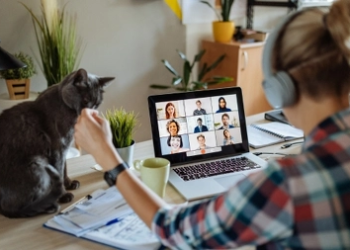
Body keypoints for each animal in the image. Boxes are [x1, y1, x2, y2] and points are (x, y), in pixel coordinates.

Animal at [0, 69, 113, 218]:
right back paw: (49, 205)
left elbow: (64, 168)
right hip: (37, 164)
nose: (90, 110)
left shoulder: (64, 148)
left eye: (96, 103)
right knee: (16, 208)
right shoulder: (57, 148)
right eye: (85, 99)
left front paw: (69, 183)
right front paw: (64, 195)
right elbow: (59, 170)